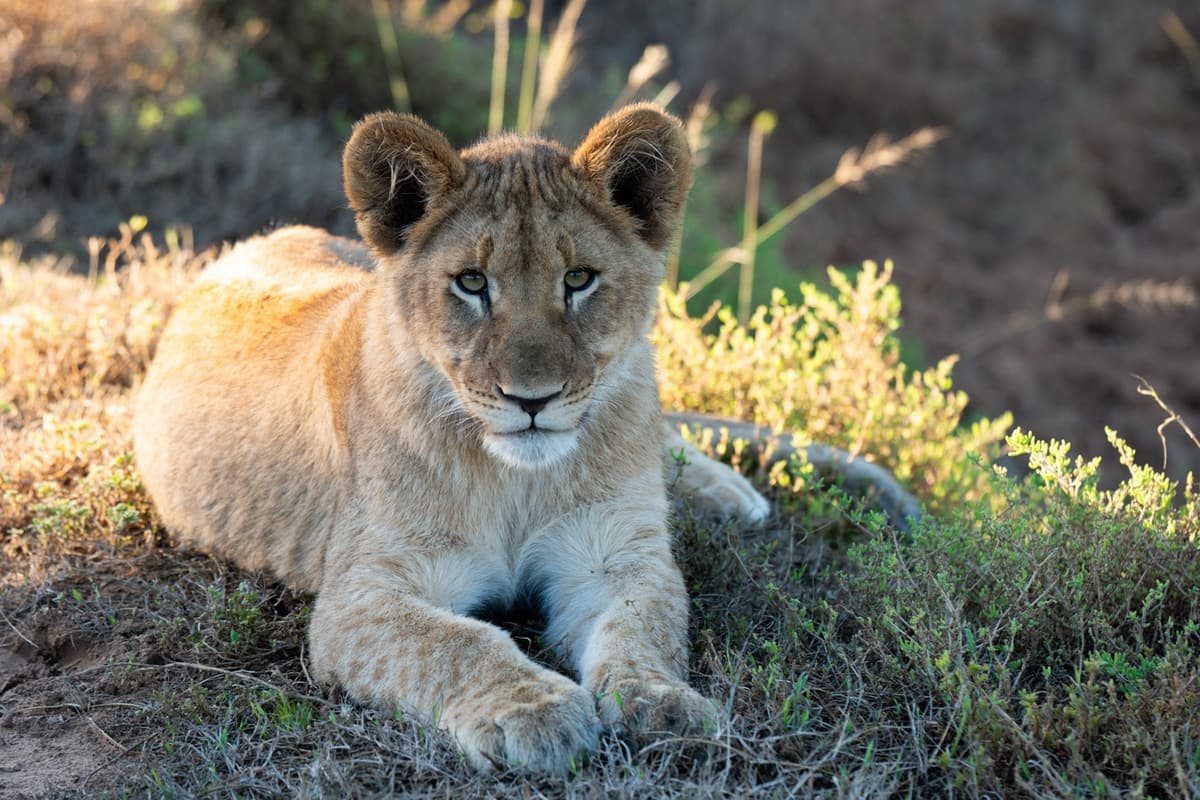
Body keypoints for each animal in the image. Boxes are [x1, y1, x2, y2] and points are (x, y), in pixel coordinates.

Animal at [133, 104, 917, 774]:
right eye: (472, 283)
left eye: (579, 278)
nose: (530, 400)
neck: (515, 477)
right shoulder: (361, 594)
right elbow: (457, 642)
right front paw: (535, 712)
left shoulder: (613, 555)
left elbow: (643, 626)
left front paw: (661, 705)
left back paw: (731, 495)